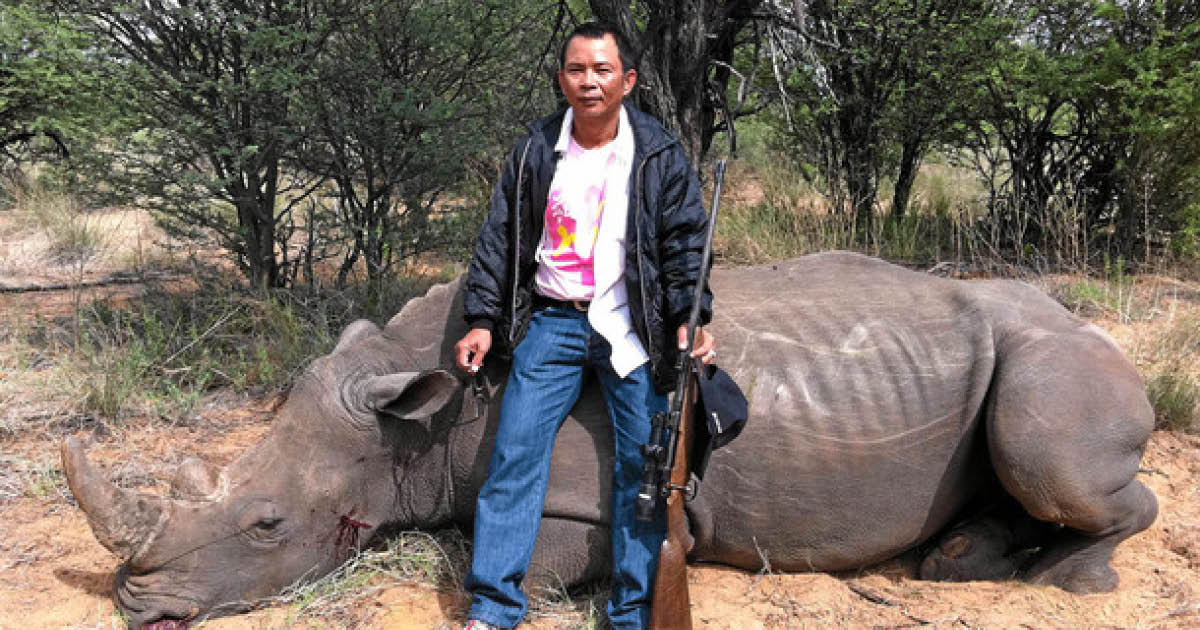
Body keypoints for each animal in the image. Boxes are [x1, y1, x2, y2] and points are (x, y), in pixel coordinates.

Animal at [62, 252, 1158, 629]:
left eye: (267, 525)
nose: (135, 607)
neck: (415, 413)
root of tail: (1085, 317)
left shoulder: (587, 502)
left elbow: (498, 558)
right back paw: (963, 559)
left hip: (1061, 355)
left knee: (1052, 459)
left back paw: (1064, 581)